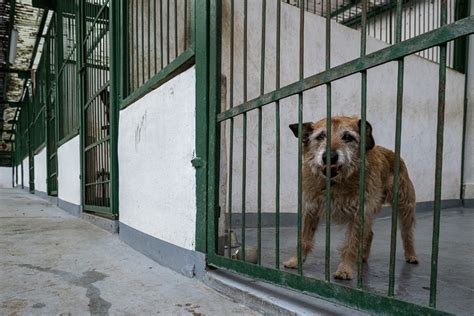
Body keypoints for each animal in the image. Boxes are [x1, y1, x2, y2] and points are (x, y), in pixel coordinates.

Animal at [282, 115, 418, 278]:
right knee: (370, 233)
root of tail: (393, 153)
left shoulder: (359, 214)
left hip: (405, 206)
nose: (329, 157)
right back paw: (363, 256)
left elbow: (351, 244)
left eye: (348, 137)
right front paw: (295, 261)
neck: (336, 182)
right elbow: (304, 239)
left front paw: (345, 269)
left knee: (406, 233)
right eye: (320, 136)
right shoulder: (311, 211)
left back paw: (411, 254)